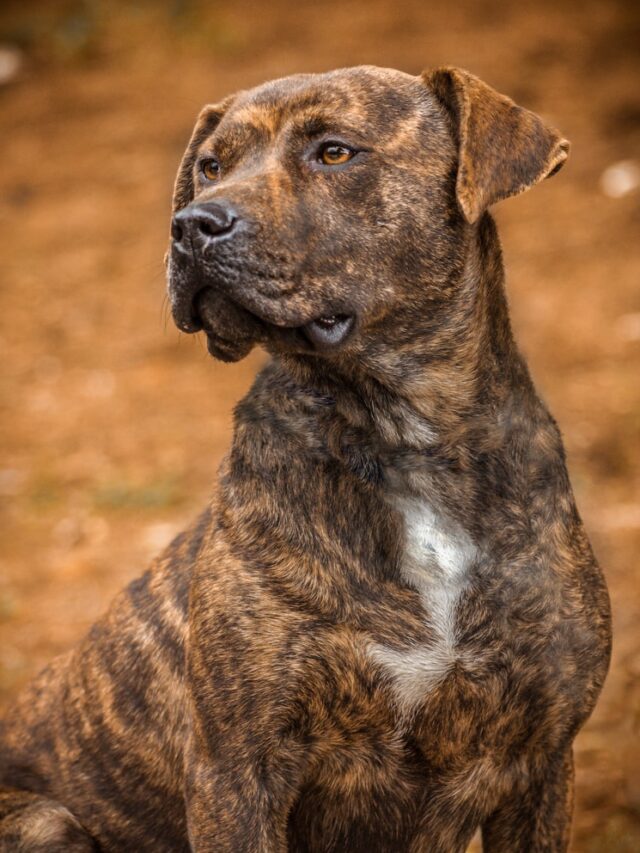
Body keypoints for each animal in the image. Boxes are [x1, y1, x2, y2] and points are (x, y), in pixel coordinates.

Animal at [0, 63, 608, 848]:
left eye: (335, 153)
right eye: (211, 166)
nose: (192, 225)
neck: (402, 438)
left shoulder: (540, 759)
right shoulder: (237, 770)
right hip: (46, 817)